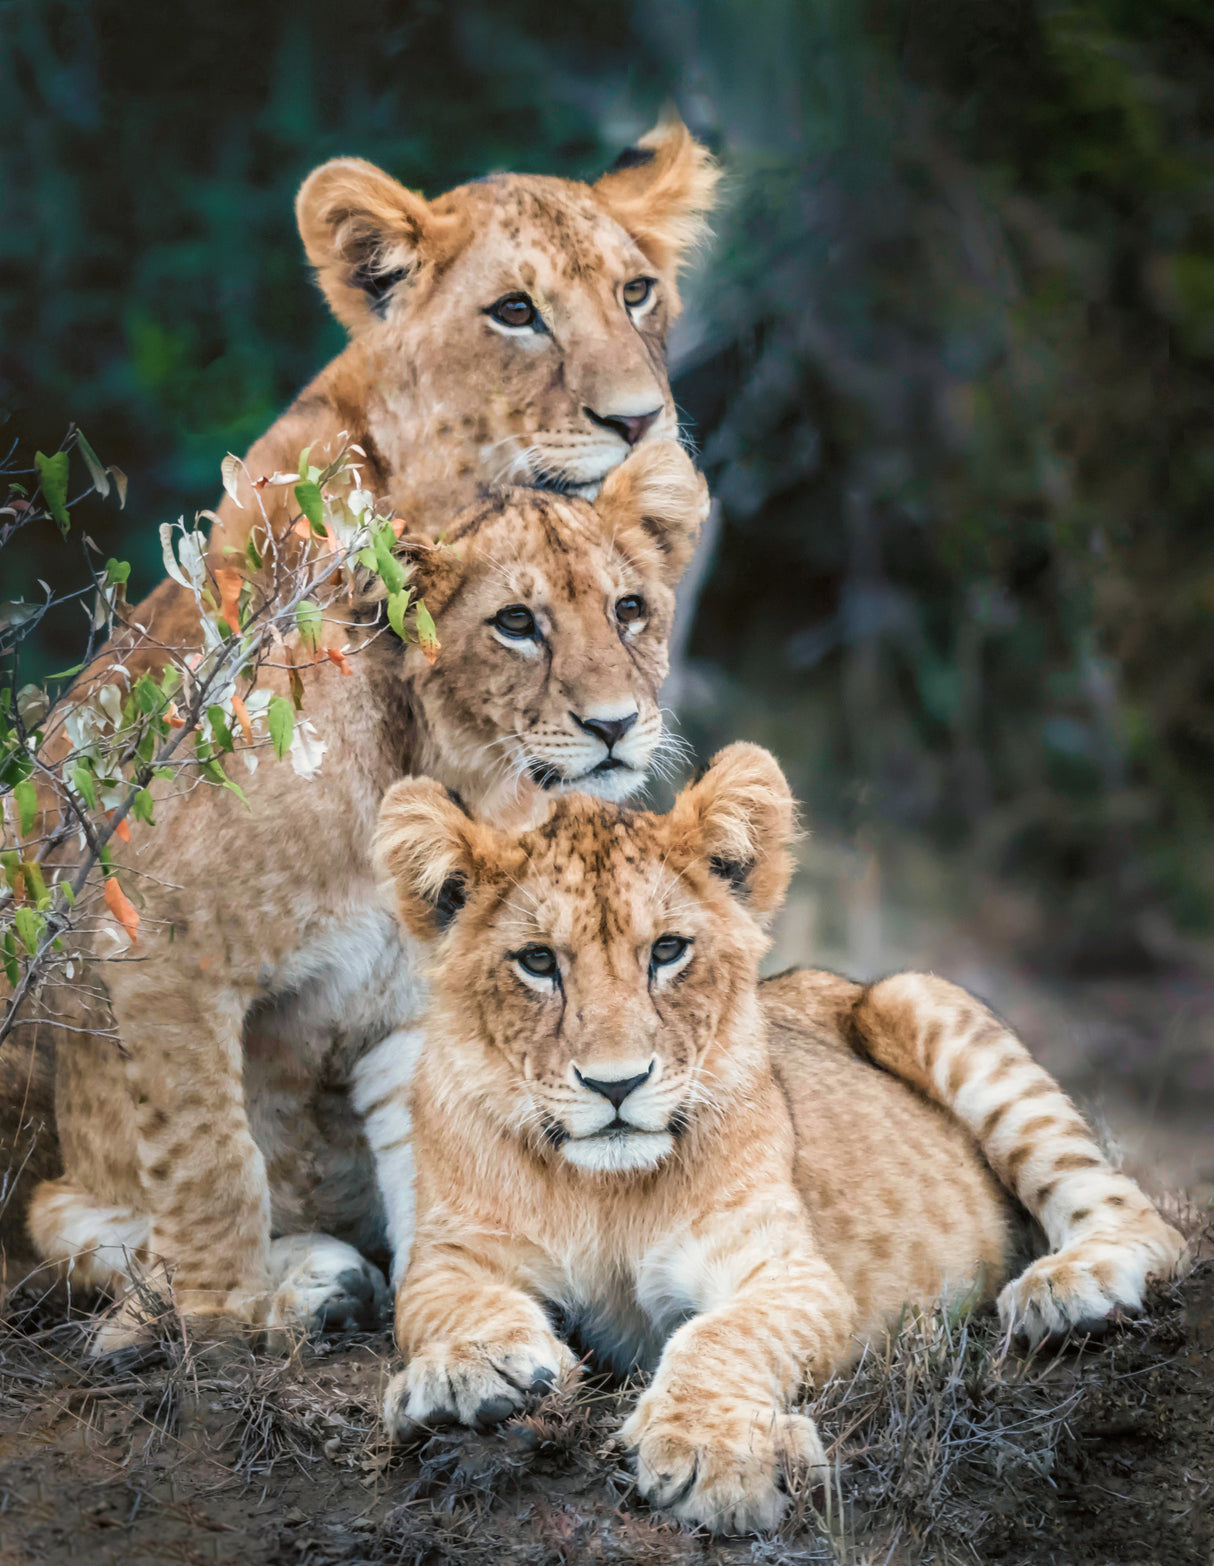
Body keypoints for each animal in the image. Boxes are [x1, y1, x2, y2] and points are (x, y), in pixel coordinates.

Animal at [24, 440, 709, 1352]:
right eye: (516, 624)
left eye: (629, 609)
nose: (614, 725)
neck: (457, 772)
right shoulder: (158, 947)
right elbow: (211, 1158)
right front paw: (216, 1321)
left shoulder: (421, 1004)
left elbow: (439, 1161)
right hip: (61, 1190)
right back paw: (301, 1287)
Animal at [373, 744, 1187, 1534]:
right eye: (538, 961)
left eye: (667, 951)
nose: (616, 1085)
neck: (606, 1192)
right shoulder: (445, 1254)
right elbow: (446, 1304)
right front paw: (474, 1368)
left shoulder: (789, 1270)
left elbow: (722, 1336)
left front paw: (713, 1452)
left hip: (917, 997)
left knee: (1142, 1218)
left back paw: (1069, 1290)